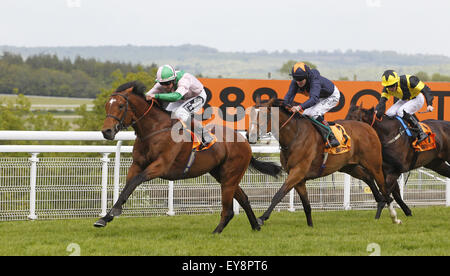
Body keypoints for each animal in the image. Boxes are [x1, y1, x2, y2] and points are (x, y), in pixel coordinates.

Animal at [93, 81, 282, 234]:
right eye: (107, 106)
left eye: (120, 106)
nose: (106, 131)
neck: (153, 130)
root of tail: (244, 141)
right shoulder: (137, 164)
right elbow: (127, 187)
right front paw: (105, 217)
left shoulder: (160, 165)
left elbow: (135, 181)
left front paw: (113, 213)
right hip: (222, 174)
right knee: (243, 198)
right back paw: (255, 226)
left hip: (230, 175)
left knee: (229, 208)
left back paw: (217, 231)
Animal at [250, 98, 400, 226]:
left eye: (263, 115)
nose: (250, 136)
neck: (294, 135)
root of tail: (369, 127)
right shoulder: (299, 178)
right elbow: (306, 205)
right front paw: (310, 226)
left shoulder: (297, 172)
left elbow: (279, 194)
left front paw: (261, 218)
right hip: (348, 166)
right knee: (368, 178)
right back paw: (380, 200)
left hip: (374, 165)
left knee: (384, 188)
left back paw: (394, 216)